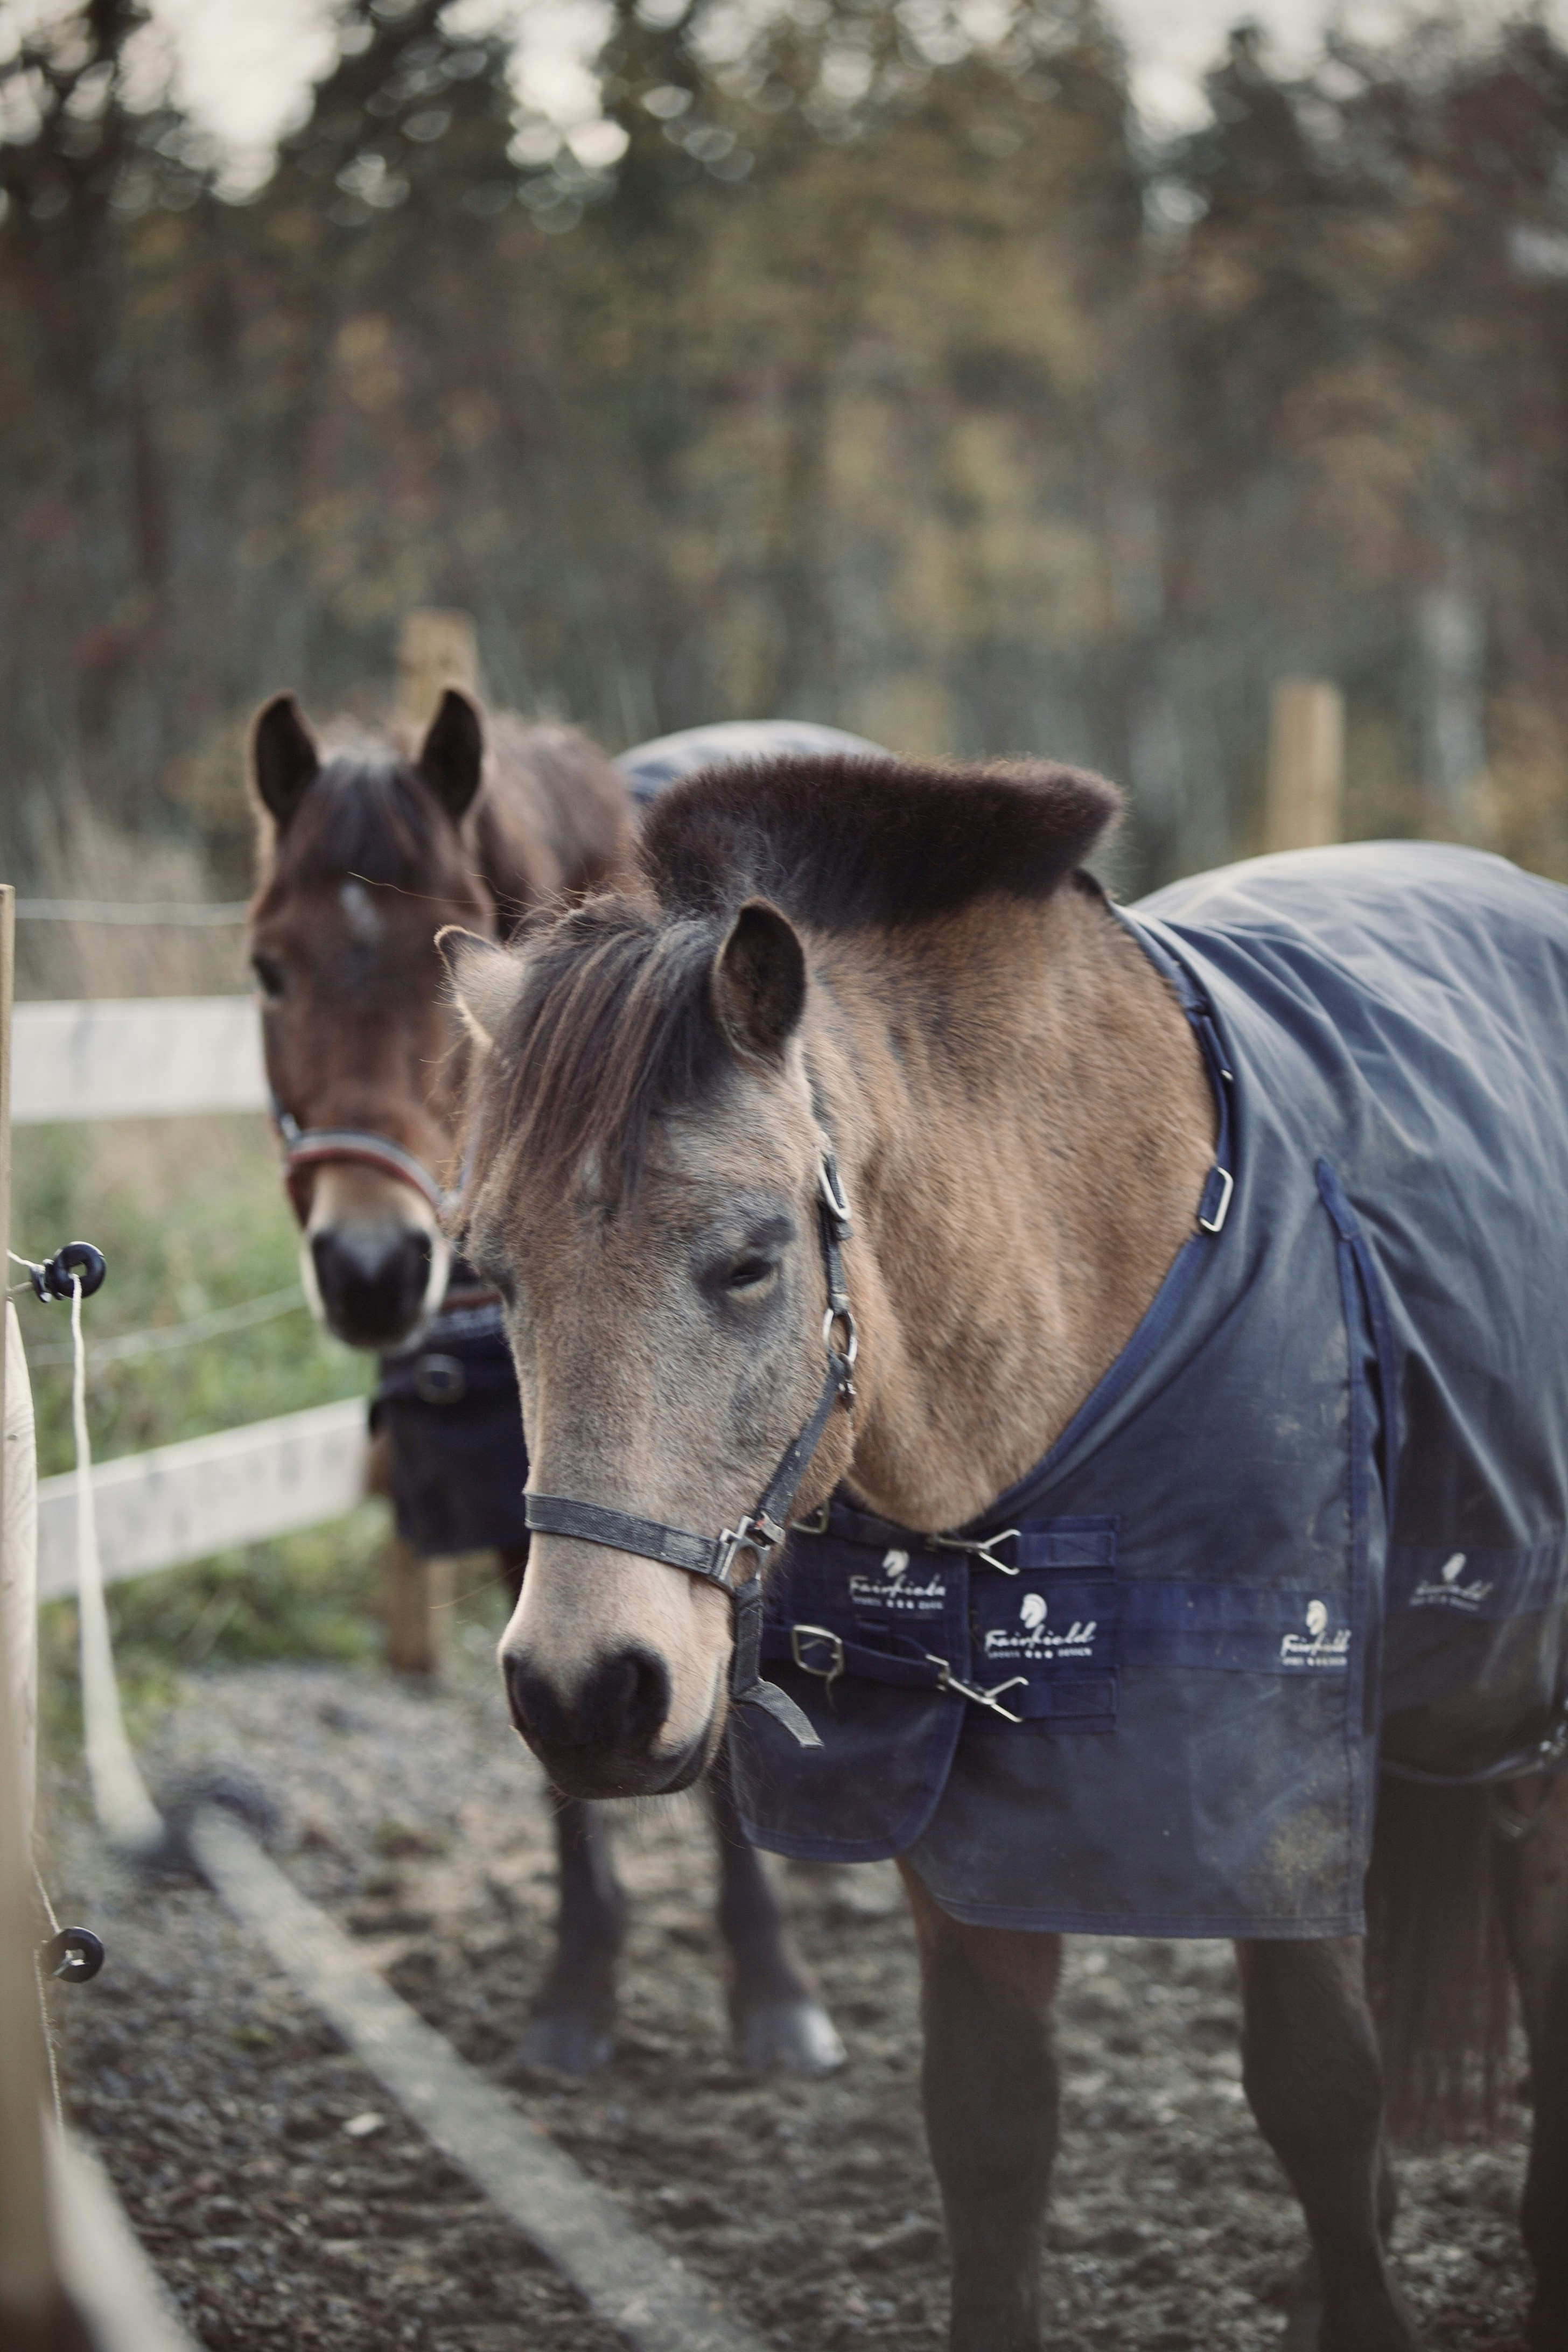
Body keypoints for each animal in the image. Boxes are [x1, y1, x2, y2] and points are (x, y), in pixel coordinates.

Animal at [244, 686, 844, 2074]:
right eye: (268, 969)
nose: (370, 1268)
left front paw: (768, 1976)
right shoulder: (537, 1499)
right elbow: (562, 1712)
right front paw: (580, 1975)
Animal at [444, 748, 1568, 2352]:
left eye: (750, 1261)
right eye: (493, 1273)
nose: (586, 1691)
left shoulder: (1273, 1784)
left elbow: (1320, 2097)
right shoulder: (949, 1821)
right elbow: (988, 2131)